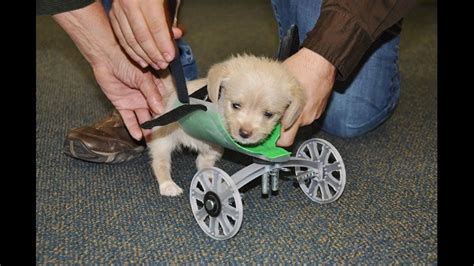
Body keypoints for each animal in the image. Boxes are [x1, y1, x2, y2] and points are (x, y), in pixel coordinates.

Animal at [146, 54, 306, 195]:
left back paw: (210, 177)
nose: (245, 133)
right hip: (162, 141)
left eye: (268, 114)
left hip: (215, 148)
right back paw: (168, 185)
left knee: (202, 162)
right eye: (235, 105)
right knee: (160, 163)